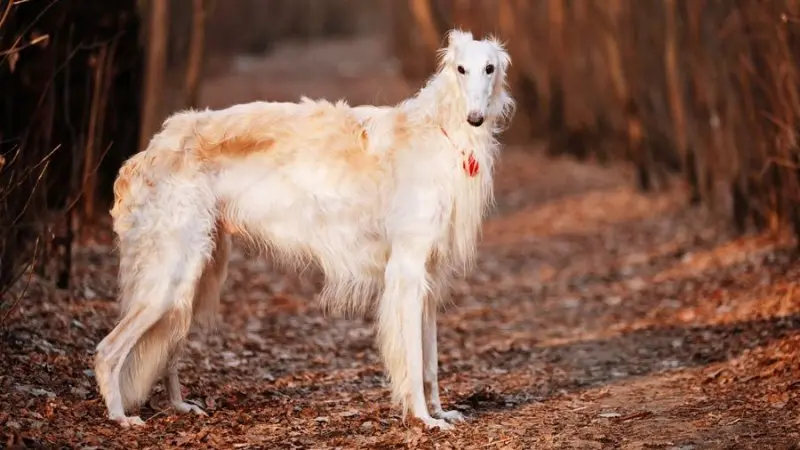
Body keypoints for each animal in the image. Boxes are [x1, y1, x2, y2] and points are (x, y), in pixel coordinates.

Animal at [94, 29, 516, 430]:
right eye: (461, 69)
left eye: (489, 68)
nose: (475, 118)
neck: (441, 132)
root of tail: (146, 153)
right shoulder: (407, 270)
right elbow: (412, 362)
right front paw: (424, 418)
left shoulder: (428, 276)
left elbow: (430, 363)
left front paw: (441, 412)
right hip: (172, 276)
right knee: (107, 351)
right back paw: (119, 416)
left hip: (196, 274)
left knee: (165, 350)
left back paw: (179, 405)